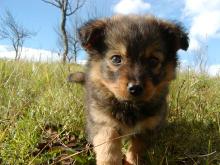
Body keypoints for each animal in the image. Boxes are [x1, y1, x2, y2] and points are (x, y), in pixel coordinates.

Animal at [76, 14, 188, 164]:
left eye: (153, 61)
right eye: (116, 59)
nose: (135, 88)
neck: (129, 107)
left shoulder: (147, 127)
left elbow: (136, 148)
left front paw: (133, 161)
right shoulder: (102, 120)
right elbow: (108, 145)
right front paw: (109, 161)